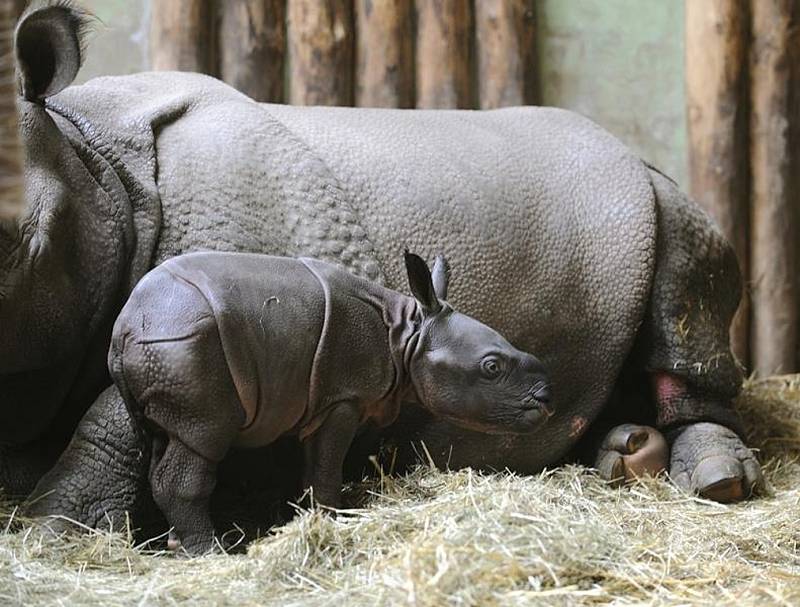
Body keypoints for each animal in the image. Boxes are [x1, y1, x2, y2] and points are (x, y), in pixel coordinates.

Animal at [111, 249, 552, 552]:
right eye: (492, 367)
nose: (546, 399)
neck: (408, 335)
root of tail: (125, 327)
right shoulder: (342, 399)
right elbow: (326, 465)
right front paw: (331, 518)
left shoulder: (324, 401)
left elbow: (312, 465)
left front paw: (311, 518)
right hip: (182, 344)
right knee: (203, 439)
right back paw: (210, 552)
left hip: (165, 350)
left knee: (167, 437)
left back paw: (179, 547)